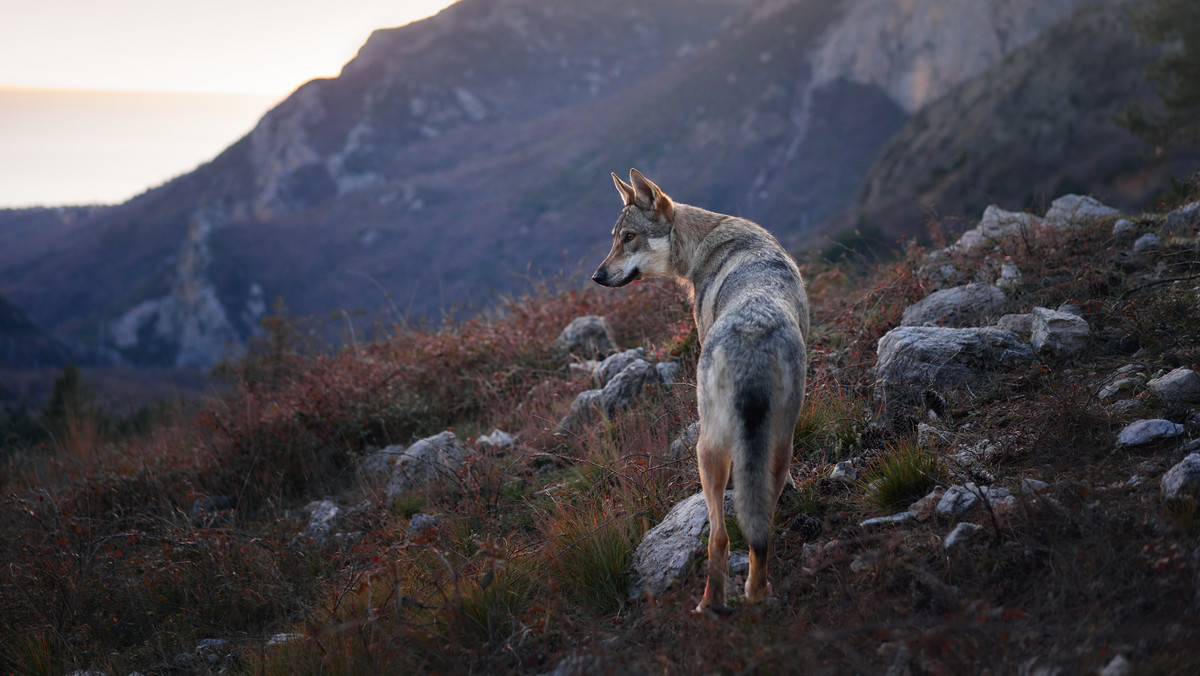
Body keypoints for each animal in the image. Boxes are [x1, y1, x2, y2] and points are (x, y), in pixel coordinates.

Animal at [595, 169, 811, 614]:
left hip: (706, 450)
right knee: (760, 530)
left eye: (628, 237)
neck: (707, 241)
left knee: (718, 537)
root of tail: (753, 338)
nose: (597, 276)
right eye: (614, 238)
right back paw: (758, 594)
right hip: (780, 443)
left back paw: (710, 605)